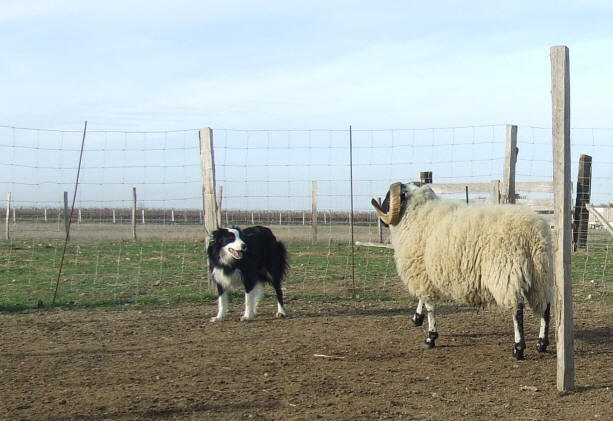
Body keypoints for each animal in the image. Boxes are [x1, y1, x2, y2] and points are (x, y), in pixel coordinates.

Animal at [370, 180, 552, 358]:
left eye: (388, 197)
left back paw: (518, 348)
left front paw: (430, 337)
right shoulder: (424, 273)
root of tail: (533, 232)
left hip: (506, 273)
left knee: (517, 310)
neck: (416, 214)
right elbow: (423, 299)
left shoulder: (420, 272)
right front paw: (417, 317)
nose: (382, 221)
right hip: (541, 275)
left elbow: (430, 305)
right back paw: (541, 344)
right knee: (545, 307)